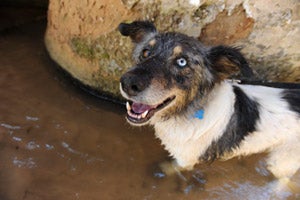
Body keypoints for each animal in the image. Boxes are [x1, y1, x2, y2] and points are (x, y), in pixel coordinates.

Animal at [117, 20, 300, 186]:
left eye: (182, 62)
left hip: (283, 161)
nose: (128, 83)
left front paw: (159, 170)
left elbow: (173, 167)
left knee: (284, 180)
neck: (189, 111)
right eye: (146, 52)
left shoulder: (185, 159)